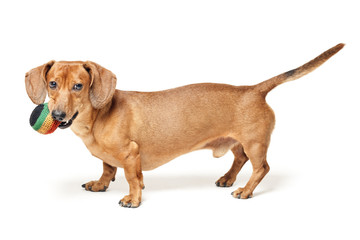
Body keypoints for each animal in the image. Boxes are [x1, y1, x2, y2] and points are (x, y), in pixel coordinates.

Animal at [24, 43, 344, 206]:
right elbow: (107, 168)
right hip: (237, 142)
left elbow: (131, 178)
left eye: (79, 86)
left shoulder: (130, 153)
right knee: (239, 159)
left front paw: (133, 198)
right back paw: (228, 178)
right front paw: (100, 184)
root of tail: (252, 90)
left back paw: (245, 190)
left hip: (255, 143)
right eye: (52, 84)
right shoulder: (111, 158)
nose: (58, 115)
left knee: (261, 168)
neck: (96, 117)